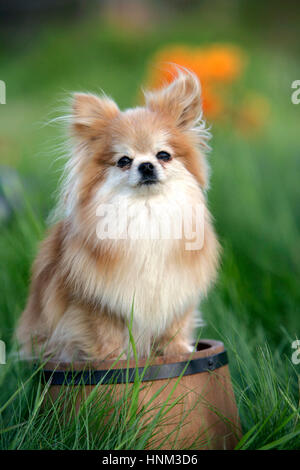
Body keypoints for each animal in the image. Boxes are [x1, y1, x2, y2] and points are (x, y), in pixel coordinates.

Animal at [17, 70, 221, 362]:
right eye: (124, 160)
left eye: (163, 155)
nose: (146, 165)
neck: (147, 213)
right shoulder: (96, 301)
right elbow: (105, 333)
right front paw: (114, 360)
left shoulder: (176, 292)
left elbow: (174, 328)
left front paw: (180, 353)